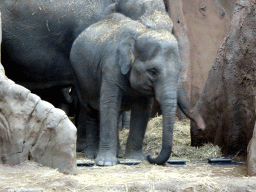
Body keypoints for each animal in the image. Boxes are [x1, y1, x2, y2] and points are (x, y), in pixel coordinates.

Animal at [69, 12, 184, 166]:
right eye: (153, 72)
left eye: (180, 70)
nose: (150, 156)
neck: (140, 33)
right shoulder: (110, 68)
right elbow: (108, 104)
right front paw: (106, 163)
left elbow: (142, 110)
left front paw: (135, 159)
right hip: (80, 78)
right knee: (90, 110)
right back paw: (91, 155)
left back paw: (118, 153)